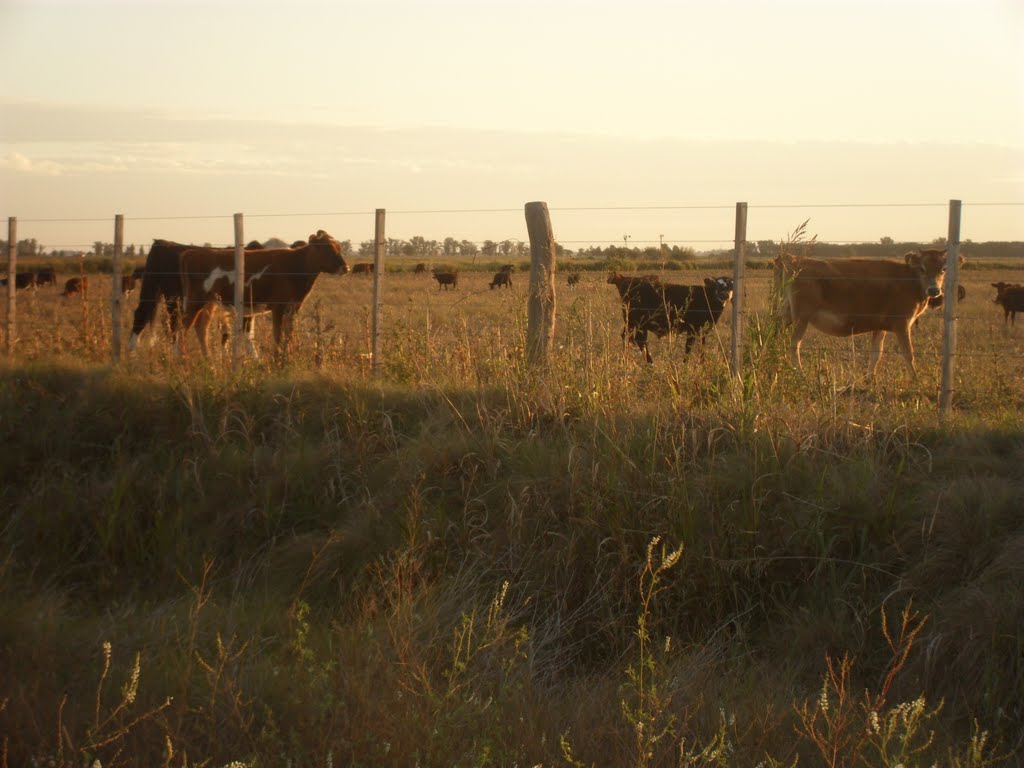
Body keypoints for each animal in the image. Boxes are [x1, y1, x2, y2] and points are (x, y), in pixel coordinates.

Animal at [178, 228, 346, 360]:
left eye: (338, 247)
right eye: (327, 248)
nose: (346, 267)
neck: (296, 265)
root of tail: (192, 252)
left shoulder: (293, 308)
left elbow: (289, 334)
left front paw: (288, 358)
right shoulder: (278, 307)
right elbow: (278, 335)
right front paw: (278, 361)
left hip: (209, 303)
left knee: (201, 328)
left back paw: (209, 362)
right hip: (195, 301)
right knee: (183, 327)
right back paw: (180, 360)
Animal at [774, 247, 958, 380]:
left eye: (943, 269)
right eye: (922, 268)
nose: (934, 290)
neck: (910, 280)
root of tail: (794, 259)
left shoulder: (880, 327)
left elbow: (876, 353)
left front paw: (869, 379)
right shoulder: (902, 324)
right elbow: (908, 353)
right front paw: (915, 380)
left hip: (786, 314)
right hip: (801, 317)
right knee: (794, 344)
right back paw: (800, 373)